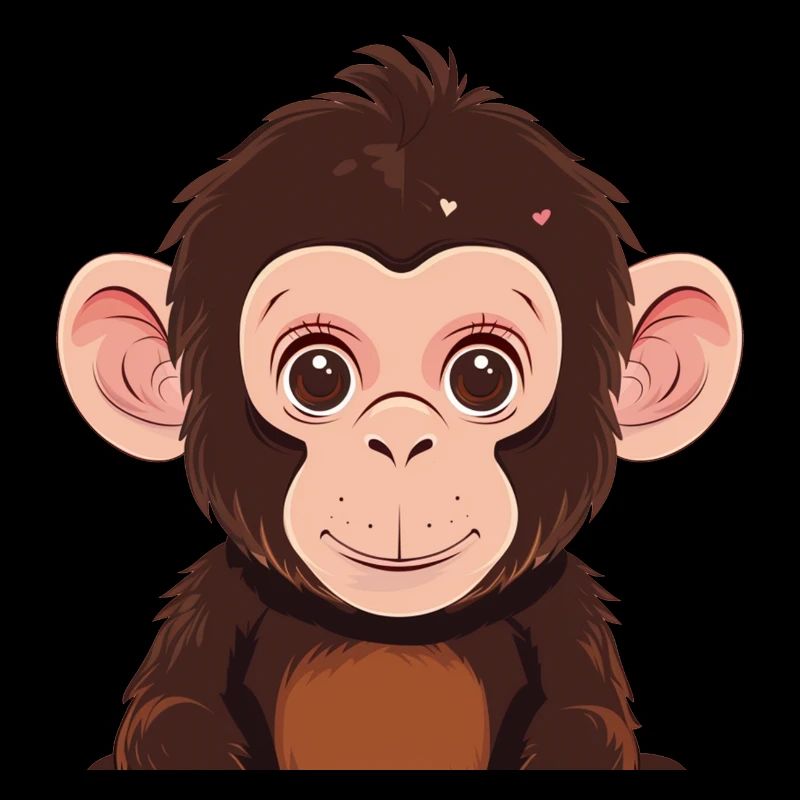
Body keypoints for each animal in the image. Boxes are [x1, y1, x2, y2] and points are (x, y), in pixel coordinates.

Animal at [58, 37, 742, 770]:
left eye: (482, 376)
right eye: (319, 375)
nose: (401, 441)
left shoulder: (567, 607)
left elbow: (586, 718)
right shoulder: (214, 595)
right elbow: (173, 712)